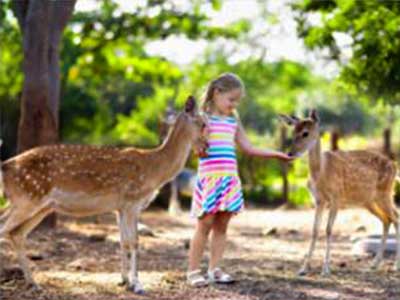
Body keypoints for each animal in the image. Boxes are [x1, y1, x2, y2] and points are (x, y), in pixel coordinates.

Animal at [0, 95, 206, 292]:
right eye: (203, 123)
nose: (205, 146)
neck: (155, 171)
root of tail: (5, 167)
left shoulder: (120, 208)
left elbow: (123, 241)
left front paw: (125, 281)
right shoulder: (133, 201)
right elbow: (134, 242)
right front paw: (137, 285)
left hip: (40, 206)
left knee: (16, 233)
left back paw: (33, 283)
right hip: (27, 198)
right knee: (6, 228)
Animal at [278, 110, 400, 276]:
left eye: (305, 133)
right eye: (293, 131)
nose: (290, 153)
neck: (321, 173)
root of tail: (394, 166)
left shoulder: (336, 198)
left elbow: (328, 230)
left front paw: (325, 269)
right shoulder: (319, 201)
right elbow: (314, 231)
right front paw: (303, 269)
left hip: (384, 193)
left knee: (396, 218)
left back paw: (395, 266)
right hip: (370, 201)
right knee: (387, 220)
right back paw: (374, 264)